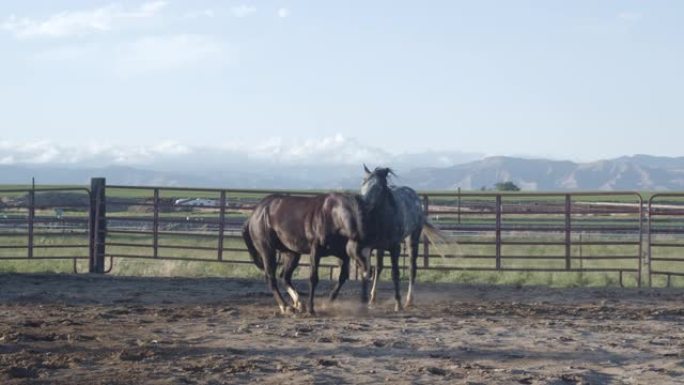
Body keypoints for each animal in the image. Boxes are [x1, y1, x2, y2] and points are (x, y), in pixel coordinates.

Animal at [243, 194, 372, 314]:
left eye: (370, 252)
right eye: (359, 251)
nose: (368, 272)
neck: (333, 215)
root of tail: (254, 214)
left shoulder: (343, 254)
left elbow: (343, 277)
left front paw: (328, 302)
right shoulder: (315, 250)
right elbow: (313, 278)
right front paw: (311, 309)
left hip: (292, 253)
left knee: (284, 276)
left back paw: (299, 304)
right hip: (267, 250)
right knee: (271, 277)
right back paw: (286, 306)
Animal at [360, 165, 446, 308]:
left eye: (378, 187)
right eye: (363, 184)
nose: (363, 205)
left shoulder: (395, 248)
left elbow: (395, 273)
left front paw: (398, 304)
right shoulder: (372, 247)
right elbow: (371, 270)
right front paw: (369, 300)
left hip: (412, 239)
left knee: (412, 268)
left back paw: (409, 300)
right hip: (382, 248)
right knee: (380, 268)